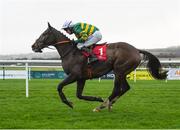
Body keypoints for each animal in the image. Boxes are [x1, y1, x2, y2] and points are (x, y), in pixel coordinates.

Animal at [31, 22, 167, 111]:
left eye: (44, 34)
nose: (33, 46)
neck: (70, 52)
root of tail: (136, 49)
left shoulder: (74, 75)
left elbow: (59, 86)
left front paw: (69, 103)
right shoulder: (81, 78)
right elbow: (79, 95)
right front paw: (96, 98)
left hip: (119, 70)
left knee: (117, 89)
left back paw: (102, 106)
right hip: (122, 72)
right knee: (125, 88)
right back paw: (109, 104)